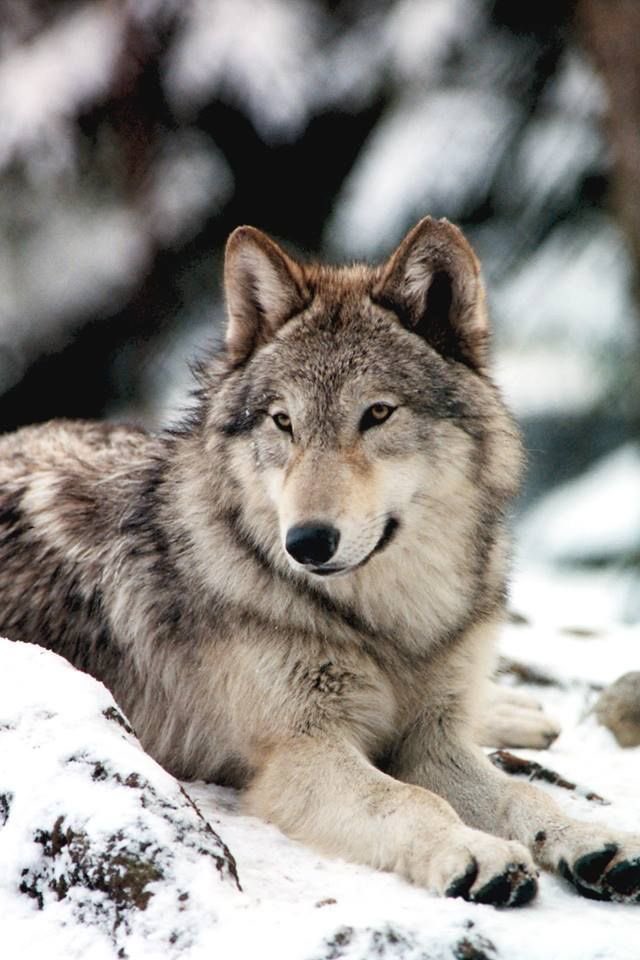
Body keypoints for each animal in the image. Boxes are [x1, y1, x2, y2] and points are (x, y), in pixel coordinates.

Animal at [0, 217, 638, 907]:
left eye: (377, 413)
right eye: (284, 422)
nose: (305, 542)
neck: (393, 627)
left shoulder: (431, 741)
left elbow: (522, 795)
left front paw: (590, 839)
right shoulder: (303, 752)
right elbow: (411, 802)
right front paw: (475, 853)